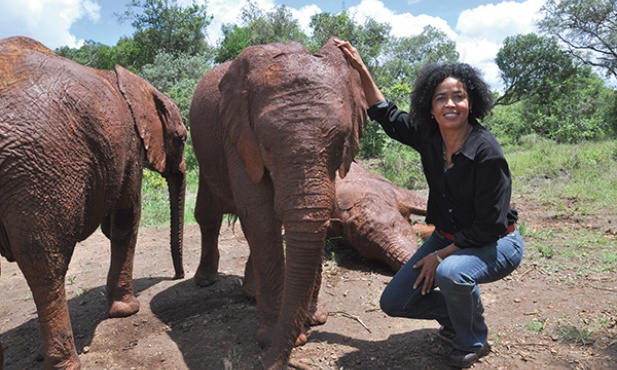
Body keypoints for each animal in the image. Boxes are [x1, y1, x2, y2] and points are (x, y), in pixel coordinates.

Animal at [0, 36, 188, 368]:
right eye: (182, 138)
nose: (179, 275)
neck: (134, 83)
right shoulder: (129, 146)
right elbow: (127, 218)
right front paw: (127, 310)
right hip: (37, 170)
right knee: (46, 266)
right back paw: (66, 363)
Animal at [190, 37, 366, 368]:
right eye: (267, 146)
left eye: (340, 142)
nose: (270, 361)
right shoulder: (237, 135)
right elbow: (260, 217)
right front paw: (274, 337)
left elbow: (320, 214)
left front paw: (313, 320)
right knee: (208, 213)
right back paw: (205, 281)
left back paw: (251, 294)